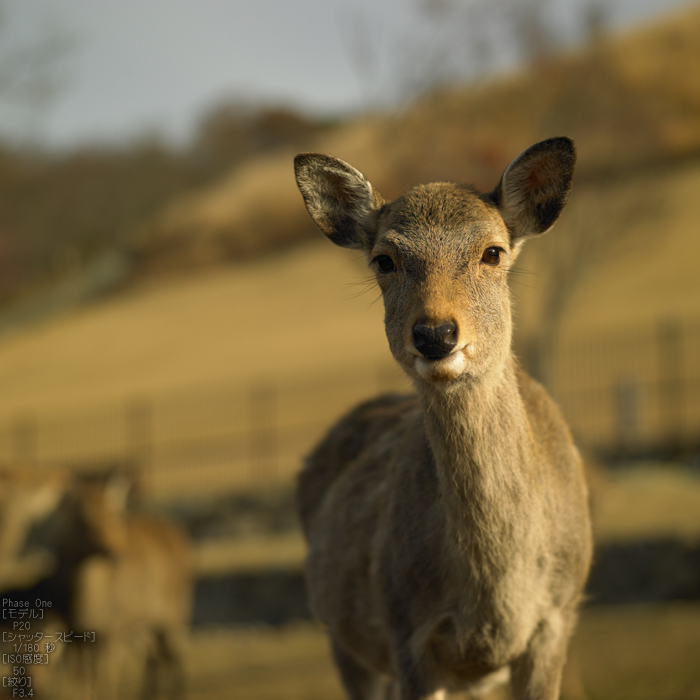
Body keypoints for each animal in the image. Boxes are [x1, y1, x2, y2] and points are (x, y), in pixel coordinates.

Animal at [292, 138, 592, 700]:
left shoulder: (559, 615)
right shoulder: (407, 628)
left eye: (493, 252)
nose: (435, 333)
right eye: (384, 259)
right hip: (342, 640)